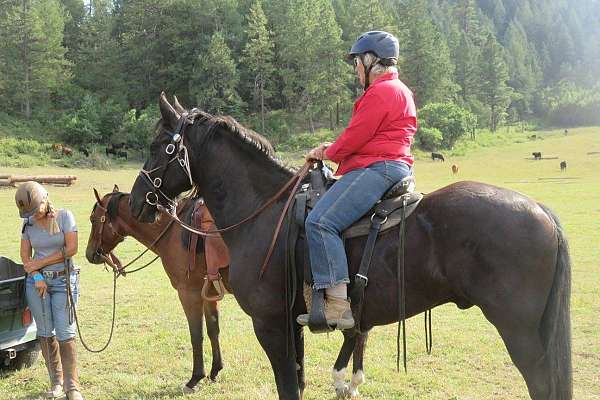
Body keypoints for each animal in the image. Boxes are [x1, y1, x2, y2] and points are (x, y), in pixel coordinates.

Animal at [86, 189, 230, 392]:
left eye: (93, 219)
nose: (89, 254)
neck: (174, 230)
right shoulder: (209, 293)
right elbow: (213, 330)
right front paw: (215, 371)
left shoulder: (189, 293)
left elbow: (196, 335)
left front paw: (195, 378)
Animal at [127, 96, 572, 400]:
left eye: (158, 146)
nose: (135, 202)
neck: (264, 211)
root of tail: (543, 212)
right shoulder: (292, 325)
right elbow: (299, 382)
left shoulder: (271, 325)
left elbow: (287, 386)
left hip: (520, 331)